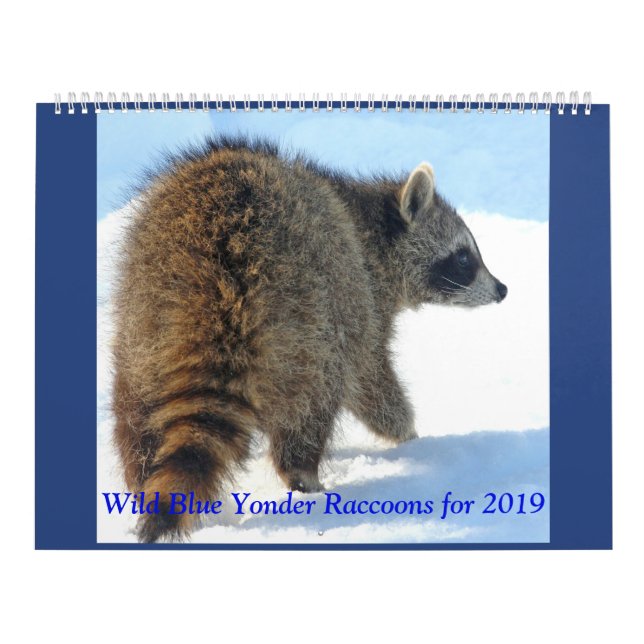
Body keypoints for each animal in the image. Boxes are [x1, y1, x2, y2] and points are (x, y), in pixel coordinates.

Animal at [111, 137, 507, 543]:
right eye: (463, 258)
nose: (502, 289)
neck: (370, 221)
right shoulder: (361, 294)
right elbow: (370, 379)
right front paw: (407, 433)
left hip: (144, 311)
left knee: (134, 405)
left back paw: (138, 475)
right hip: (307, 310)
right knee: (315, 397)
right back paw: (304, 478)